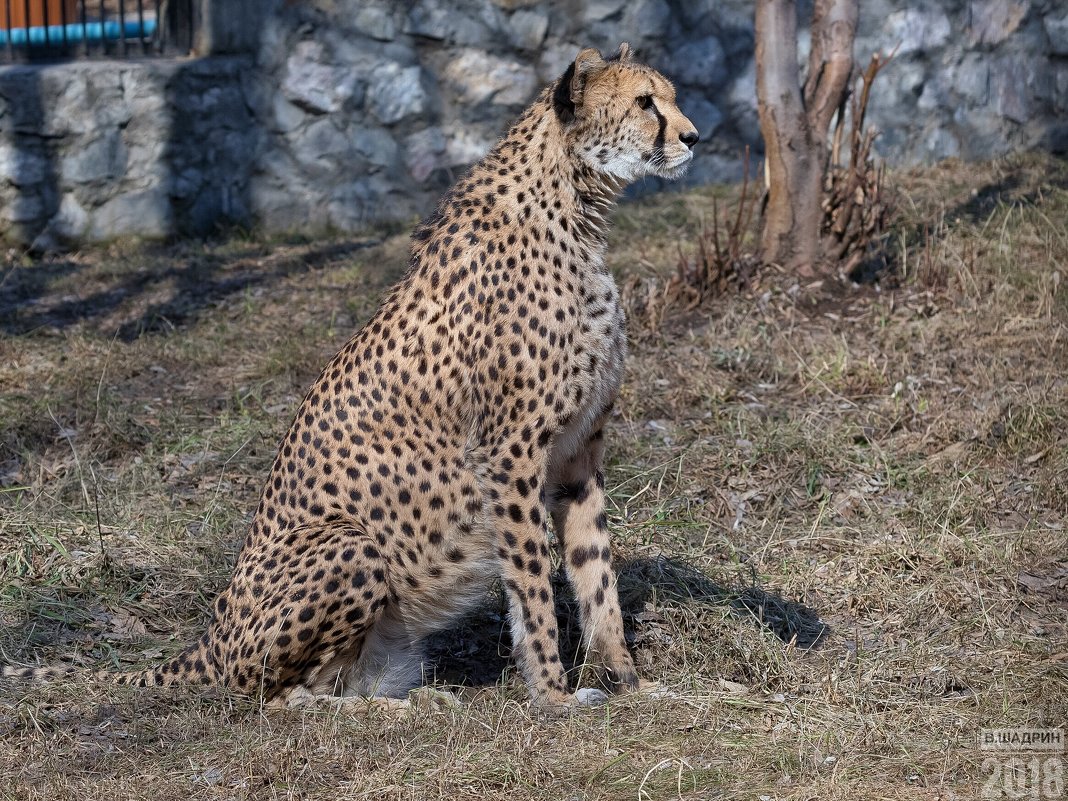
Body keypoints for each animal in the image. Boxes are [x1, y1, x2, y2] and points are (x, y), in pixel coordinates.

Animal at [6, 43, 700, 713]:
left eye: (668, 96)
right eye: (645, 102)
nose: (694, 137)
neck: (576, 206)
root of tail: (210, 635)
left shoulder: (577, 454)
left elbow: (596, 573)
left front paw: (629, 682)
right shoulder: (510, 453)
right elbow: (532, 587)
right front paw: (554, 696)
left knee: (339, 683)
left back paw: (418, 697)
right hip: (351, 547)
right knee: (284, 699)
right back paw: (396, 712)